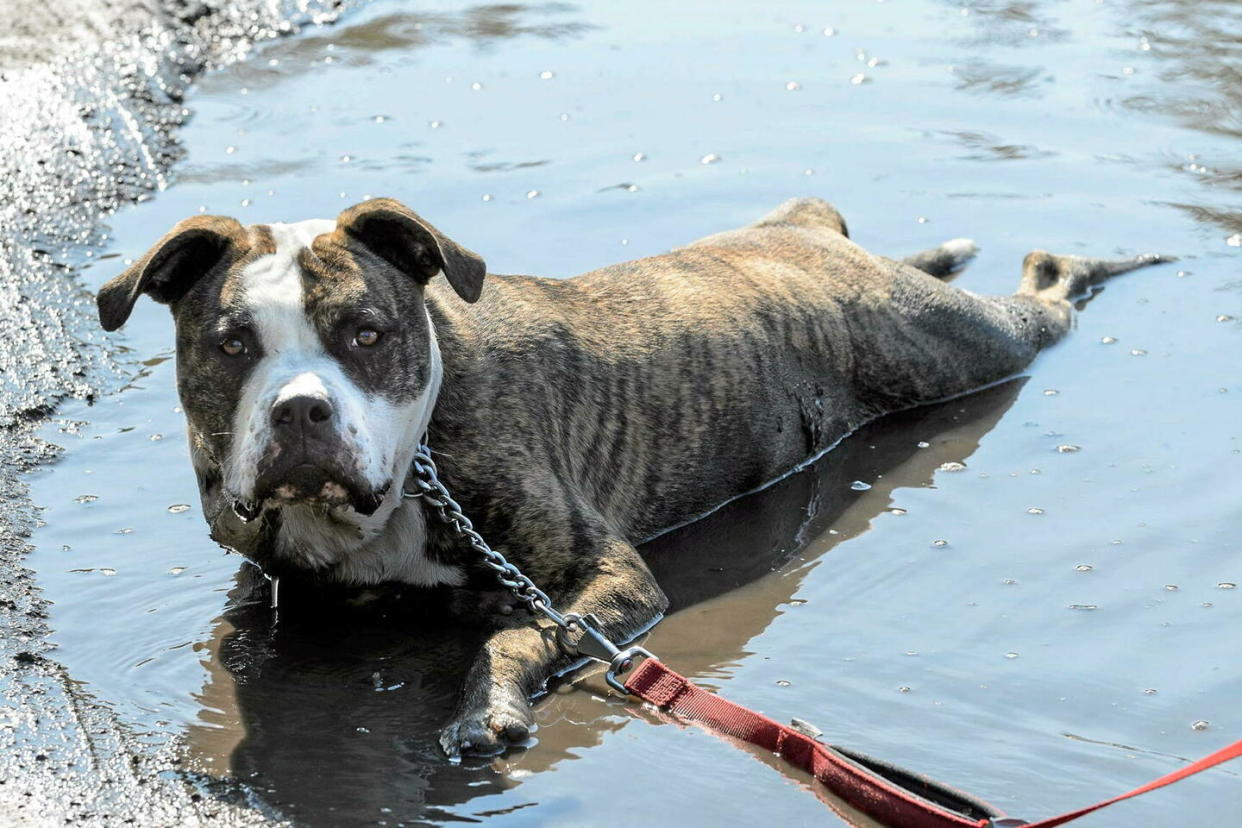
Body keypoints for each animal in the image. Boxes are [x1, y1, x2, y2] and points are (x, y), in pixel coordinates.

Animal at [94, 196, 1162, 759]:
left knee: (1047, 285)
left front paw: (485, 707)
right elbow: (244, 629)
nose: (301, 412)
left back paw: (1093, 263)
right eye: (232, 343)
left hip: (963, 349)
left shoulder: (608, 581)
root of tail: (802, 226)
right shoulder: (266, 576)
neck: (410, 470)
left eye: (366, 333)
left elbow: (516, 634)